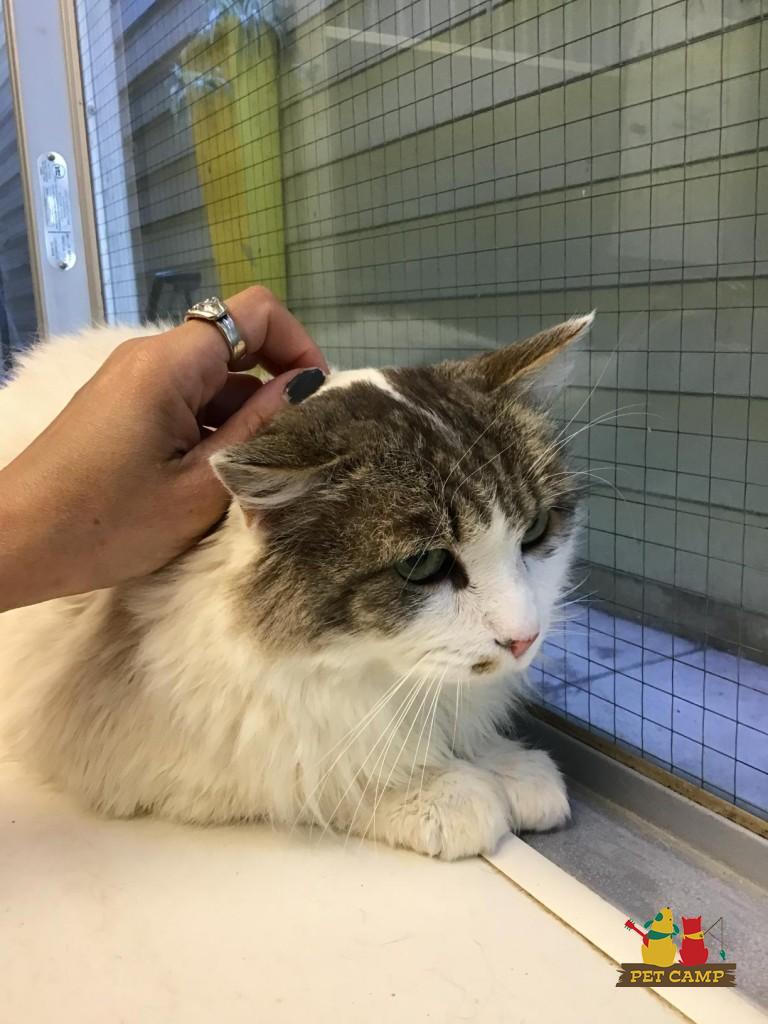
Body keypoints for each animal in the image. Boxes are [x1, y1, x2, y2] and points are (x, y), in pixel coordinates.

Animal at [0, 312, 593, 860]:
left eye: (535, 532)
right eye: (424, 564)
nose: (524, 639)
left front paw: (500, 761)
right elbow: (316, 775)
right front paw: (438, 790)